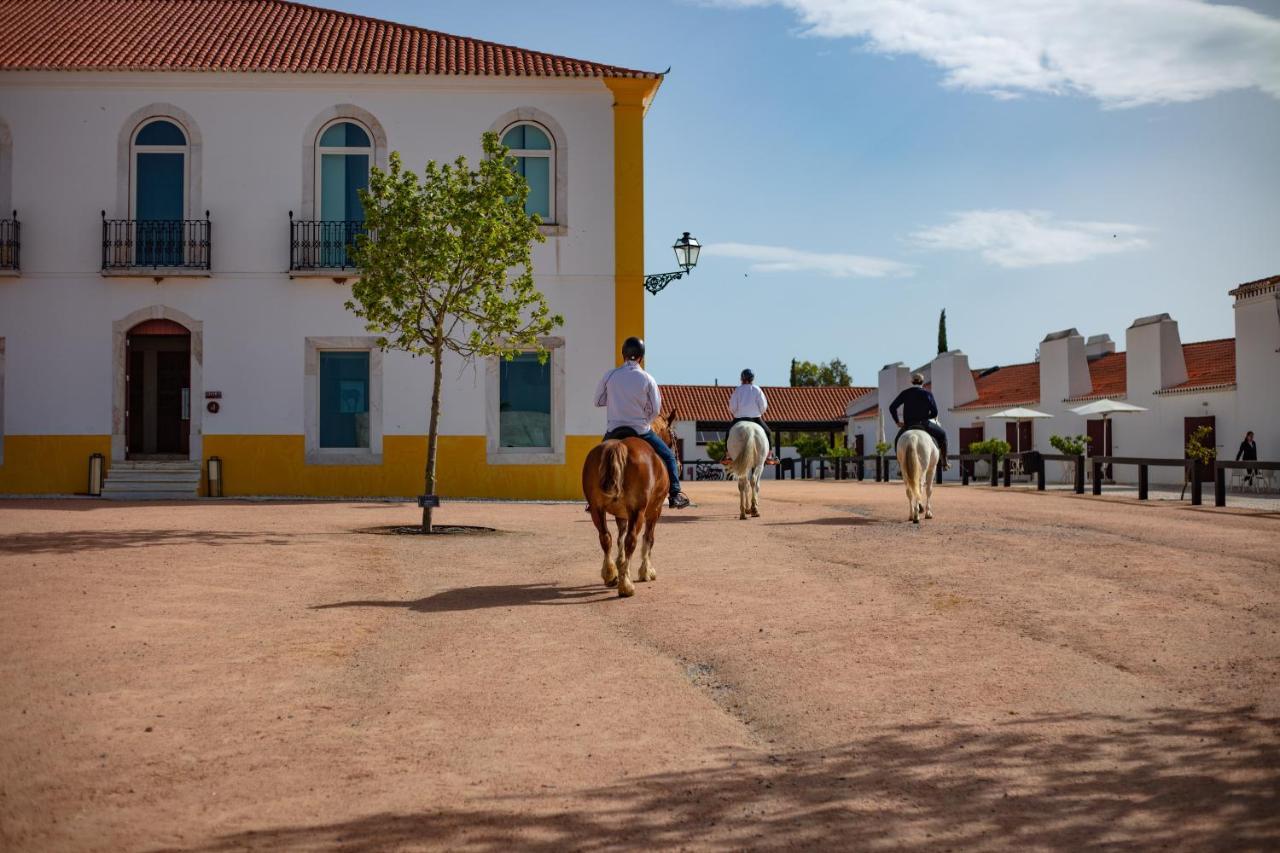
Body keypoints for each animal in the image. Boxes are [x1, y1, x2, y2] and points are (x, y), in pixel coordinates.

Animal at [583, 409, 680, 594]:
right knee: (632, 540)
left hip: (597, 509)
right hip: (638, 511)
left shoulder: (621, 513)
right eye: (674, 436)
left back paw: (610, 575)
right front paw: (646, 571)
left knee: (606, 538)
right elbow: (648, 539)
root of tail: (619, 446)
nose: (678, 462)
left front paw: (620, 565)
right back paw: (626, 585)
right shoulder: (654, 511)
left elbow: (619, 536)